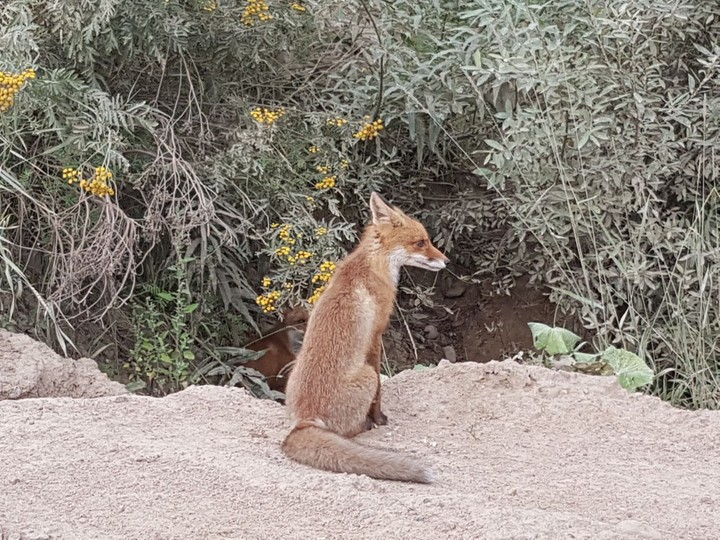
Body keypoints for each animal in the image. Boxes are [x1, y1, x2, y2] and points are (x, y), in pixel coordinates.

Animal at [281, 192, 449, 483]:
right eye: (421, 242)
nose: (446, 261)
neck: (372, 266)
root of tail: (305, 419)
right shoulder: (376, 335)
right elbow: (380, 390)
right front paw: (379, 418)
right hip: (367, 376)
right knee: (348, 431)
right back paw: (364, 425)